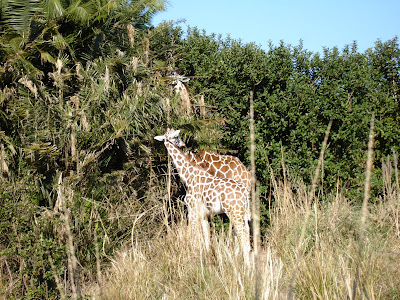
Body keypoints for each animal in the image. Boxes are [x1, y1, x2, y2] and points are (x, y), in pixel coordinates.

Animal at [154, 127, 250, 264]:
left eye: (177, 136)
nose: (182, 144)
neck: (188, 175)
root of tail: (245, 193)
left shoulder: (192, 210)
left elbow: (193, 235)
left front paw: (192, 259)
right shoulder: (204, 214)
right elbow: (206, 237)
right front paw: (207, 258)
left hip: (234, 211)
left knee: (243, 234)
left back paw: (247, 265)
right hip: (243, 212)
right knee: (246, 232)